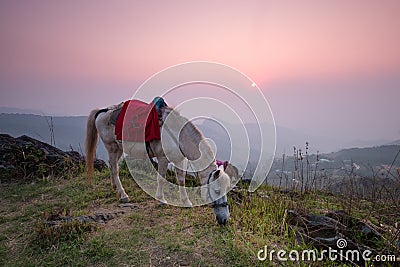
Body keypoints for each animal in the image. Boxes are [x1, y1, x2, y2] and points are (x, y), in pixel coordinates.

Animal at [86, 103, 233, 225]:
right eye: (217, 191)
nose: (224, 219)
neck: (176, 135)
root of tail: (102, 111)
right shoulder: (162, 159)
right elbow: (161, 179)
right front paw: (161, 199)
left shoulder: (180, 160)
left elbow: (181, 180)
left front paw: (186, 202)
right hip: (112, 147)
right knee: (115, 168)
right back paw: (123, 195)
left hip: (119, 149)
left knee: (112, 165)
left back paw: (114, 187)